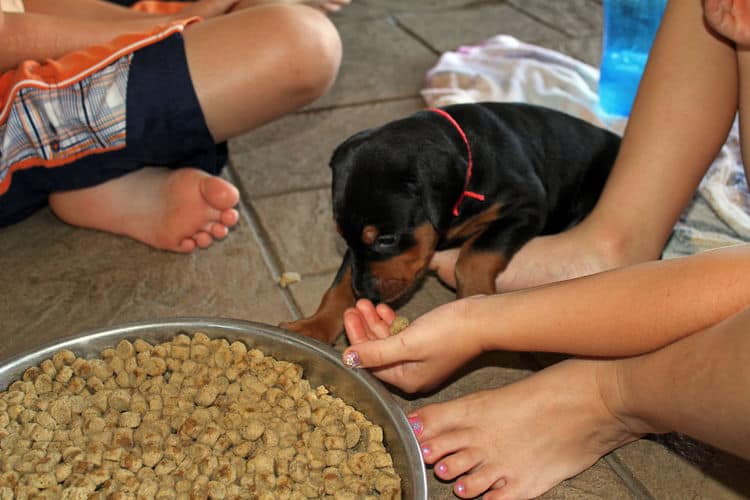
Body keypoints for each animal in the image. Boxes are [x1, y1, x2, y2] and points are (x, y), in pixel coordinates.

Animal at [282, 101, 624, 344]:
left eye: (387, 239)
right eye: (343, 238)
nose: (366, 295)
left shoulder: (527, 205)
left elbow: (475, 255)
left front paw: (473, 295)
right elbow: (339, 282)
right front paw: (312, 327)